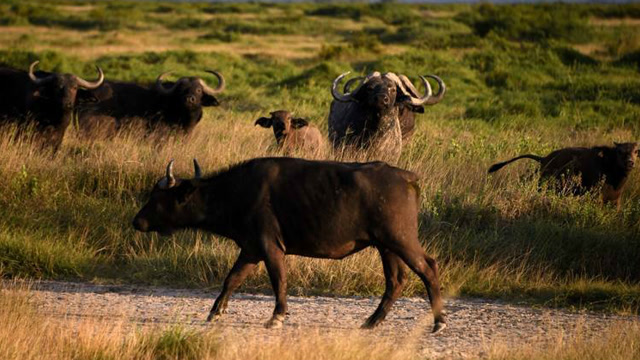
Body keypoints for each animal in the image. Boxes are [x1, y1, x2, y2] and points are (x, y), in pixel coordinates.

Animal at [133, 159, 448, 334]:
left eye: (157, 197)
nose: (137, 221)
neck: (236, 191)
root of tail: (405, 177)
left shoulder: (270, 248)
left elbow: (278, 280)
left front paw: (277, 316)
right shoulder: (250, 249)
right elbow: (231, 279)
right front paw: (215, 312)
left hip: (400, 240)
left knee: (428, 268)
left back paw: (439, 322)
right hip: (386, 246)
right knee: (395, 280)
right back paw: (372, 321)